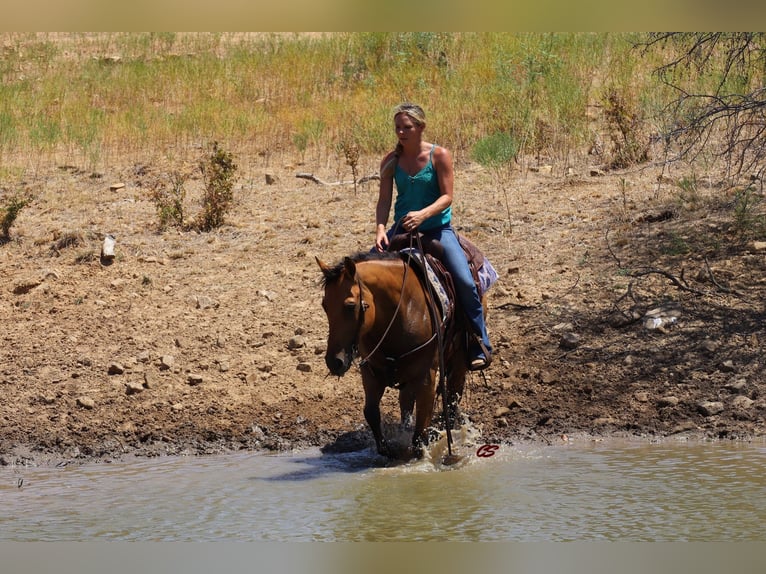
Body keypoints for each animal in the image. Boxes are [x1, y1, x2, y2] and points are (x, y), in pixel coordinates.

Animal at [316, 250, 472, 462]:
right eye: (325, 305)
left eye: (350, 306)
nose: (334, 362)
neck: (404, 309)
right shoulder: (371, 372)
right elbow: (371, 412)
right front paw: (389, 451)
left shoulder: (426, 376)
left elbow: (421, 429)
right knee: (406, 402)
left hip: (459, 361)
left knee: (453, 397)